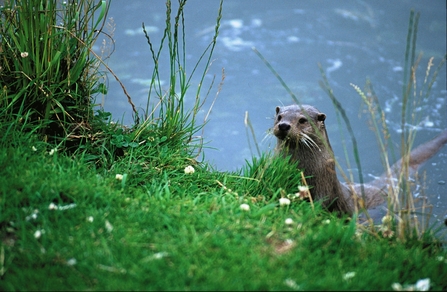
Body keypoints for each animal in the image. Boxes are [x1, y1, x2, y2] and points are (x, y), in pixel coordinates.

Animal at [272, 105, 447, 214]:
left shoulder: (325, 185)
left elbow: (323, 203)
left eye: (302, 120)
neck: (304, 168)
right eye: (279, 117)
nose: (283, 125)